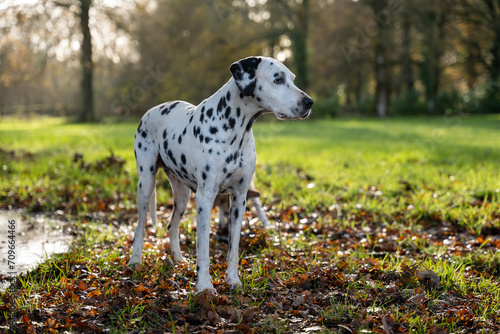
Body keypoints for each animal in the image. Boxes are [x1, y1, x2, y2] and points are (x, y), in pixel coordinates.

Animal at [129, 56, 312, 290]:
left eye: (292, 79)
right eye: (278, 79)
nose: (309, 102)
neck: (235, 131)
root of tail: (152, 110)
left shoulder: (240, 198)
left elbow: (233, 247)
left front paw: (233, 280)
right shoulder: (205, 198)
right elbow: (203, 249)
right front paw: (204, 287)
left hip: (182, 195)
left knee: (172, 226)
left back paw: (179, 260)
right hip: (146, 185)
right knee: (140, 227)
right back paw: (135, 261)